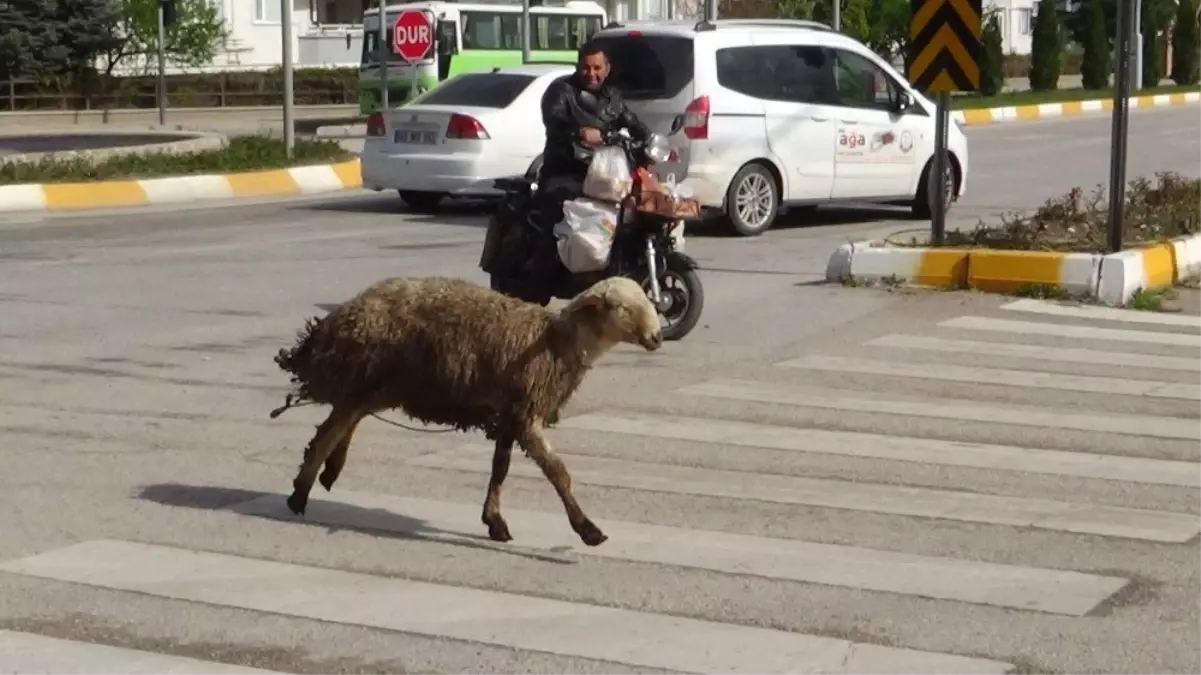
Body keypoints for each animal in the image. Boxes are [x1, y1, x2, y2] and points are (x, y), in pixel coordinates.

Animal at [270, 275, 667, 547]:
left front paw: (494, 521)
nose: (657, 337)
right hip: (372, 375)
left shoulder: (510, 413)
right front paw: (588, 530)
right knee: (331, 428)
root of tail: (340, 316)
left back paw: (328, 472)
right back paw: (301, 492)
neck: (556, 342)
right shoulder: (526, 413)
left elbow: (500, 470)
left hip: (382, 383)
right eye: (621, 307)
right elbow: (558, 472)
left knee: (347, 418)